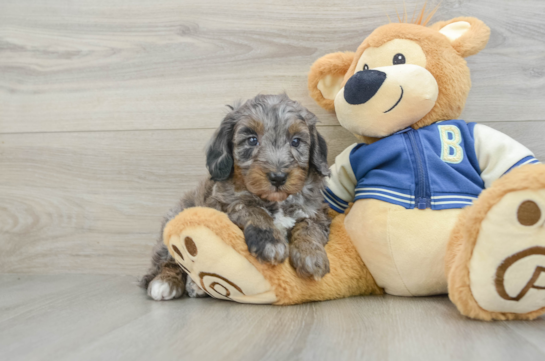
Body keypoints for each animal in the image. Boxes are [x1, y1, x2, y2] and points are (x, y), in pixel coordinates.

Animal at [140, 94, 332, 300]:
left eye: (296, 141)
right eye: (252, 140)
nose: (278, 177)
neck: (276, 200)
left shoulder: (316, 211)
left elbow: (308, 227)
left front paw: (311, 255)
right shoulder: (227, 203)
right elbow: (253, 210)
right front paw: (270, 242)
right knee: (170, 260)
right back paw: (167, 282)